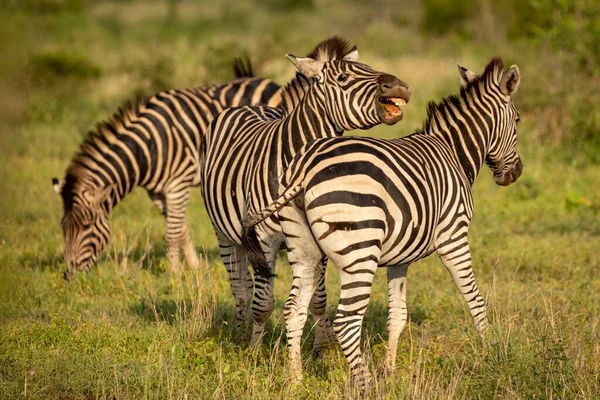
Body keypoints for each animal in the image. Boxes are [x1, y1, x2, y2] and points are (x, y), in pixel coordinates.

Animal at [51, 61, 282, 280]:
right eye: (63, 227)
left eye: (87, 226)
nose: (69, 275)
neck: (147, 148)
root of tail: (264, 80)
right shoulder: (157, 193)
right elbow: (182, 230)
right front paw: (194, 267)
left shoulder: (177, 186)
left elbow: (171, 234)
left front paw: (174, 273)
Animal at [199, 36, 410, 348]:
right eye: (344, 78)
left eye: (370, 67)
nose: (400, 87)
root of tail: (249, 106)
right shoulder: (264, 238)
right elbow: (263, 303)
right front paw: (253, 350)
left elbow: (318, 300)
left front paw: (322, 346)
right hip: (223, 233)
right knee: (240, 288)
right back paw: (240, 332)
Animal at [241, 57, 524, 390]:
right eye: (517, 120)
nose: (515, 173)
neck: (453, 152)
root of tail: (304, 166)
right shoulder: (453, 237)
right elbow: (474, 299)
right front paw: (491, 352)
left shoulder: (401, 256)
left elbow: (397, 314)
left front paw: (390, 368)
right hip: (359, 252)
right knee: (347, 321)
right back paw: (365, 384)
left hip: (304, 249)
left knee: (293, 310)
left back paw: (296, 379)